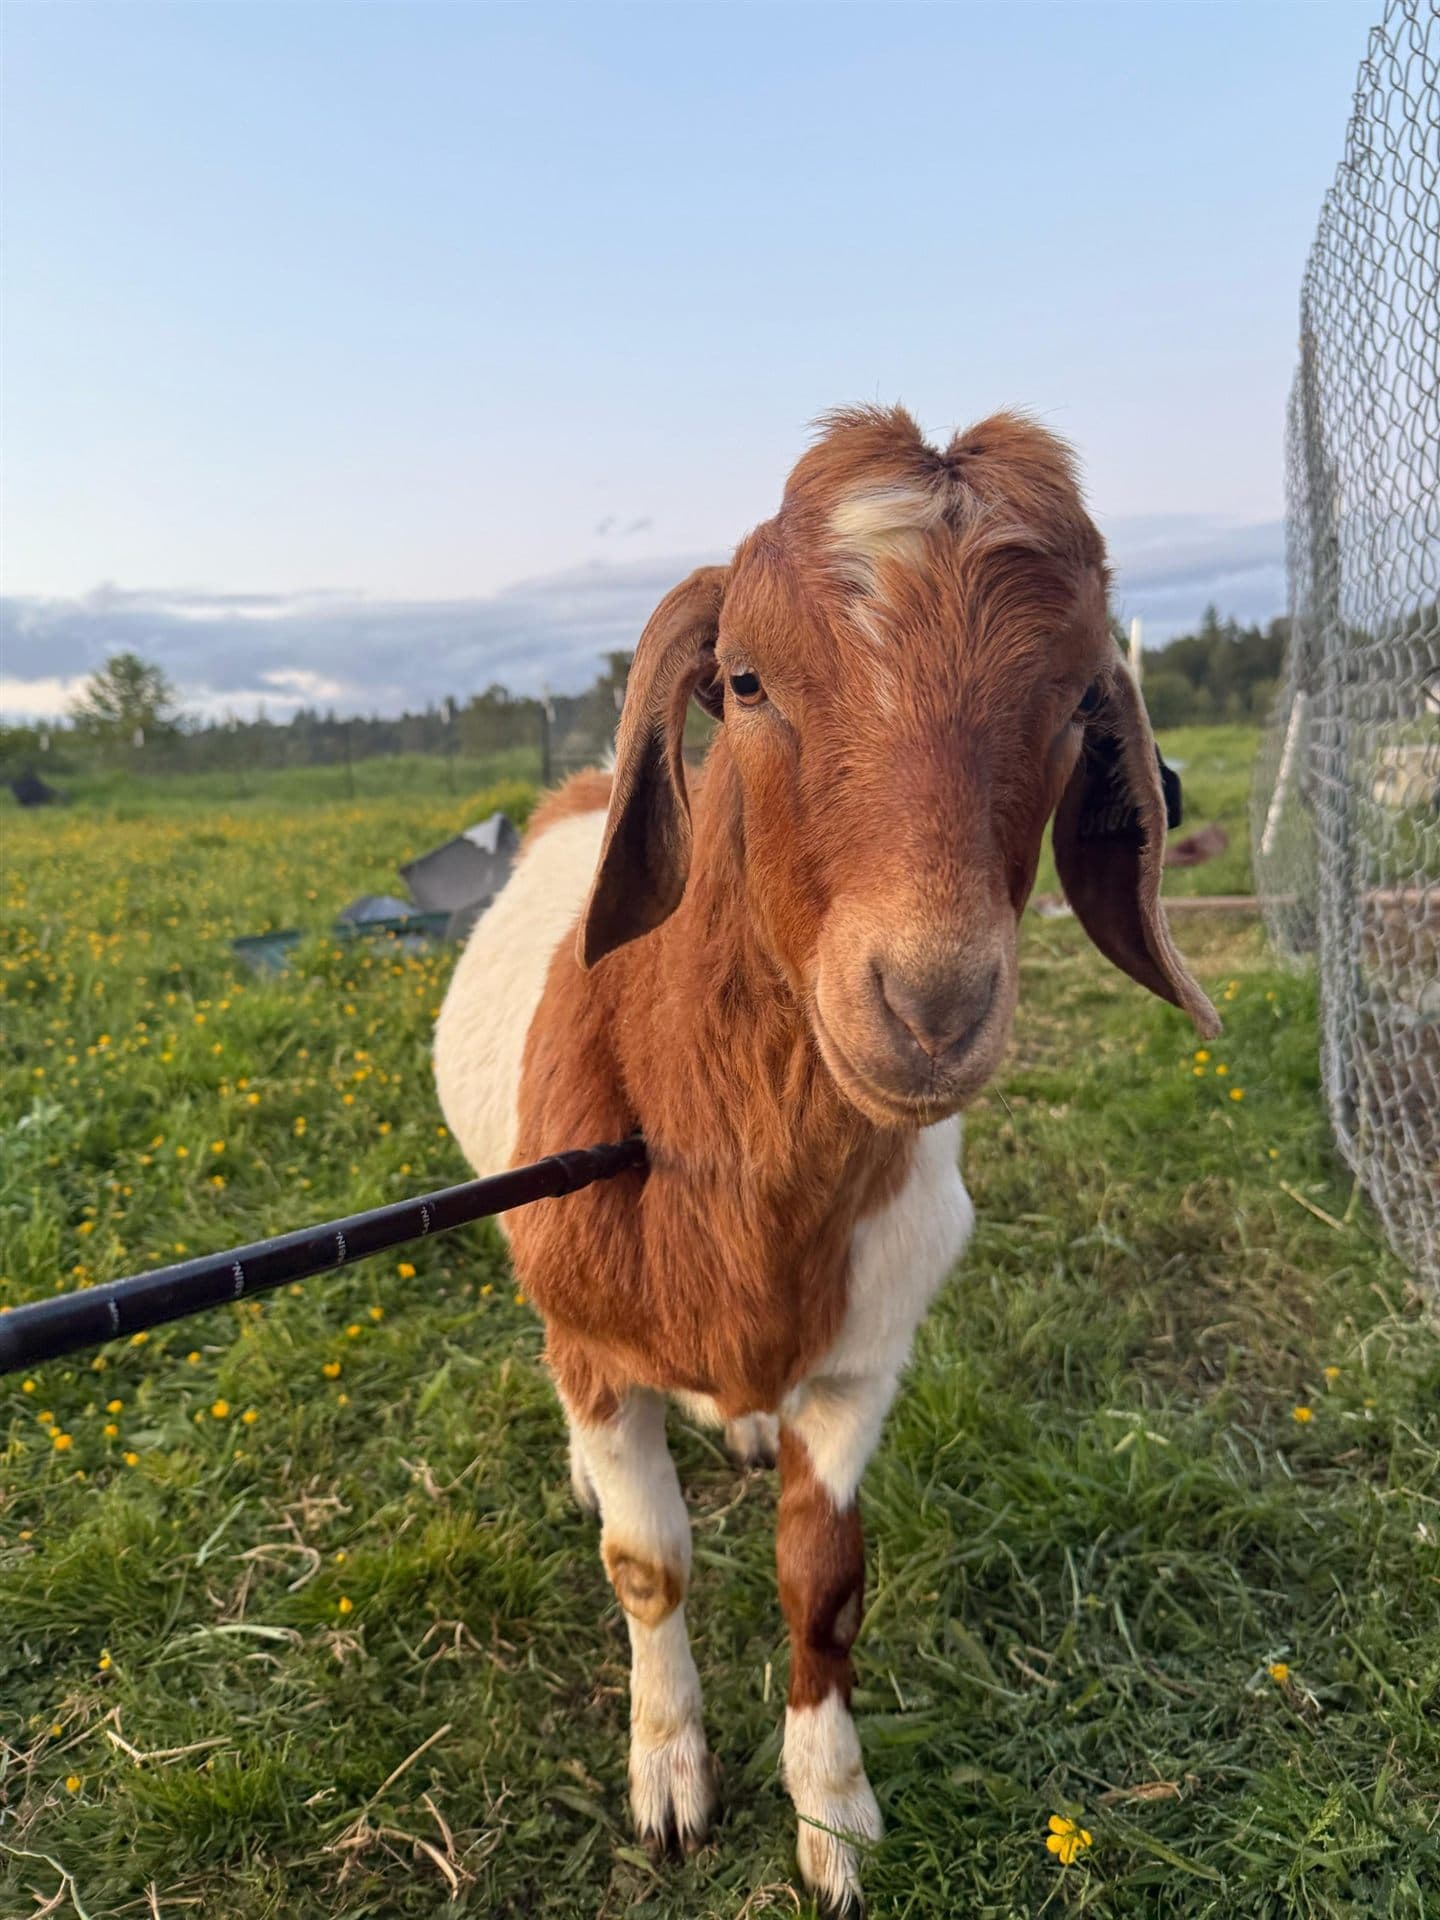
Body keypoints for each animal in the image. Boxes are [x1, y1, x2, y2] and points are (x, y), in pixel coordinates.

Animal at [434, 406, 1219, 1914]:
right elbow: (647, 1563)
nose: (931, 1003)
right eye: (744, 679)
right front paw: (670, 1777)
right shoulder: (596, 1336)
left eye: (1077, 703)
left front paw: (835, 1815)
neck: (734, 1168)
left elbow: (826, 1580)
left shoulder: (865, 1358)